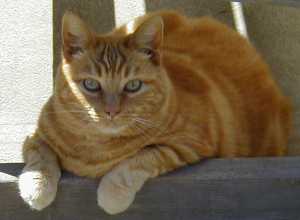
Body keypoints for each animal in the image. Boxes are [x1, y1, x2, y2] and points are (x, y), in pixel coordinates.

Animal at [17, 10, 292, 215]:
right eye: (91, 85)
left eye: (133, 86)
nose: (111, 111)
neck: (96, 146)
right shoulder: (37, 135)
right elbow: (40, 157)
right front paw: (37, 187)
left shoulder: (187, 144)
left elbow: (141, 159)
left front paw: (112, 196)